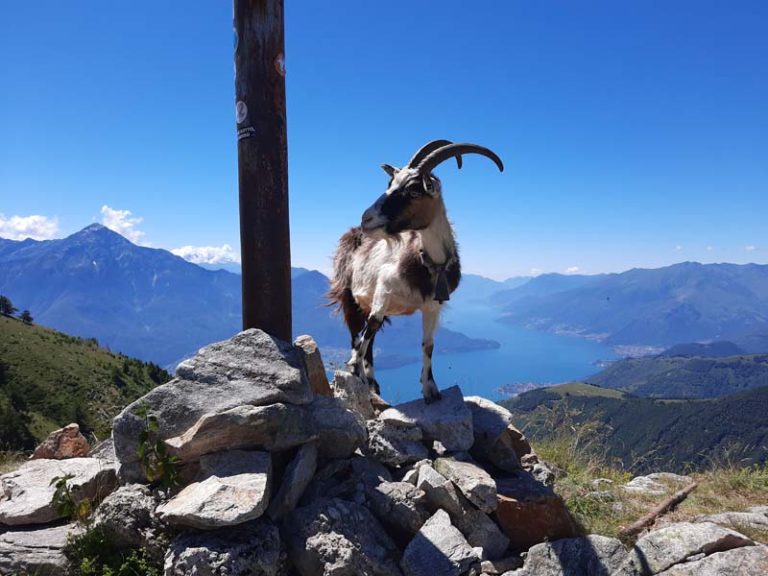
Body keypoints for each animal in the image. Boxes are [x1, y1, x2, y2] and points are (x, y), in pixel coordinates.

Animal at [328, 141, 504, 400]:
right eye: (390, 184)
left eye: (413, 190)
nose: (366, 219)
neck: (431, 263)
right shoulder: (383, 292)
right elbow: (368, 331)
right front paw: (353, 368)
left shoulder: (433, 306)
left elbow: (428, 345)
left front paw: (430, 389)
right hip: (350, 297)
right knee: (358, 334)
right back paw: (363, 377)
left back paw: (373, 383)